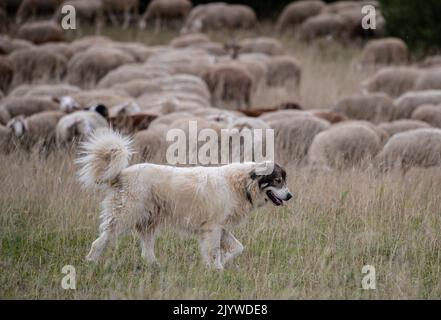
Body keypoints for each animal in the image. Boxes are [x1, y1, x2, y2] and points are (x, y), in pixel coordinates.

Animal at [77, 129, 292, 268]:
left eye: (284, 181)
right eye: (278, 181)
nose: (290, 196)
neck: (242, 184)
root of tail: (121, 173)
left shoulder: (219, 228)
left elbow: (238, 248)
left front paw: (221, 262)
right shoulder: (213, 227)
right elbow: (214, 251)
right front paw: (217, 270)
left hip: (148, 222)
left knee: (146, 250)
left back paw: (155, 267)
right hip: (125, 216)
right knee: (100, 241)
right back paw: (90, 262)